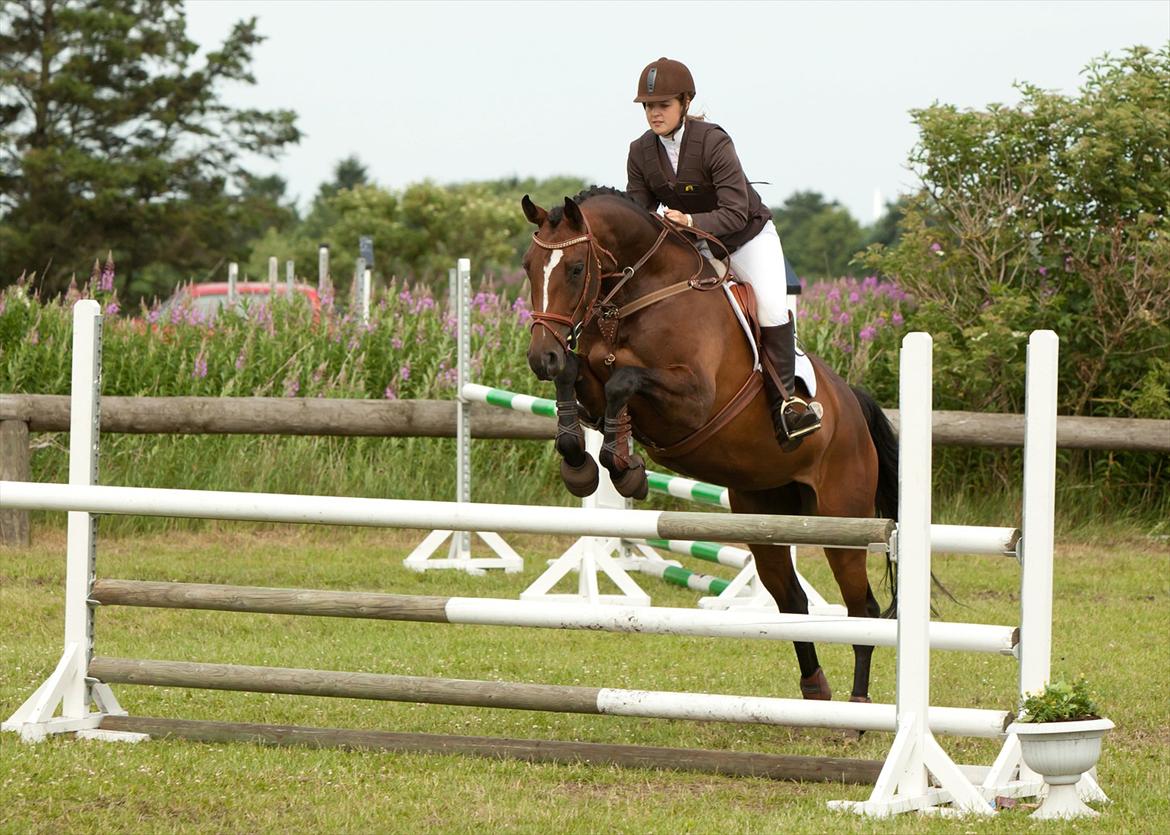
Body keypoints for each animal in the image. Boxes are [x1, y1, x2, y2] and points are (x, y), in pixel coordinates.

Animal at [519, 187, 893, 701]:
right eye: (528, 265)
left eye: (576, 268)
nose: (542, 357)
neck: (640, 294)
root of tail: (853, 404)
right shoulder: (591, 380)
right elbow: (582, 378)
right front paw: (585, 466)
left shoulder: (692, 400)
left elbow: (623, 381)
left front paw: (623, 467)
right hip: (763, 509)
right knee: (791, 599)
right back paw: (816, 690)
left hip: (843, 519)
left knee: (863, 610)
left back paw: (857, 706)